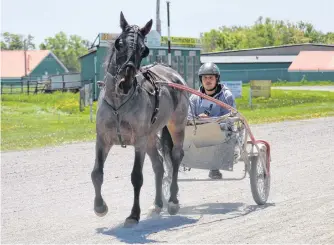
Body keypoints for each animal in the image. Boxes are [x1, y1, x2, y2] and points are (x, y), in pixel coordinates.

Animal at [91, 11, 190, 226]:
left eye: (144, 51)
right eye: (118, 43)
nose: (125, 83)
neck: (119, 103)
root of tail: (173, 74)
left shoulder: (139, 142)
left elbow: (136, 177)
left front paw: (133, 214)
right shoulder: (103, 139)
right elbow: (97, 173)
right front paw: (100, 207)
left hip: (176, 126)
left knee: (175, 158)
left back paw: (172, 201)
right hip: (151, 136)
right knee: (159, 165)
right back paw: (157, 204)